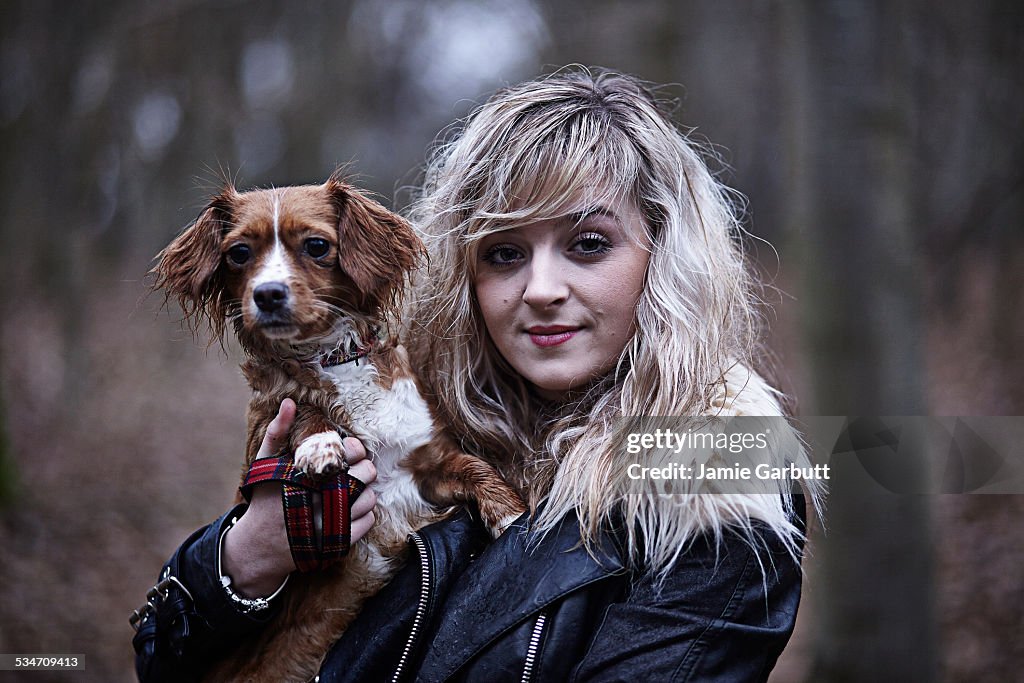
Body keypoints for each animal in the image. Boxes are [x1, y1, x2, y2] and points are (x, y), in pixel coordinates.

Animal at [155, 172, 524, 683]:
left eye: (316, 245)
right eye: (239, 253)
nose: (267, 294)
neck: (331, 359)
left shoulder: (426, 469)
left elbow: (475, 467)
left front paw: (510, 515)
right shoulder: (265, 436)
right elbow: (300, 408)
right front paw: (320, 443)